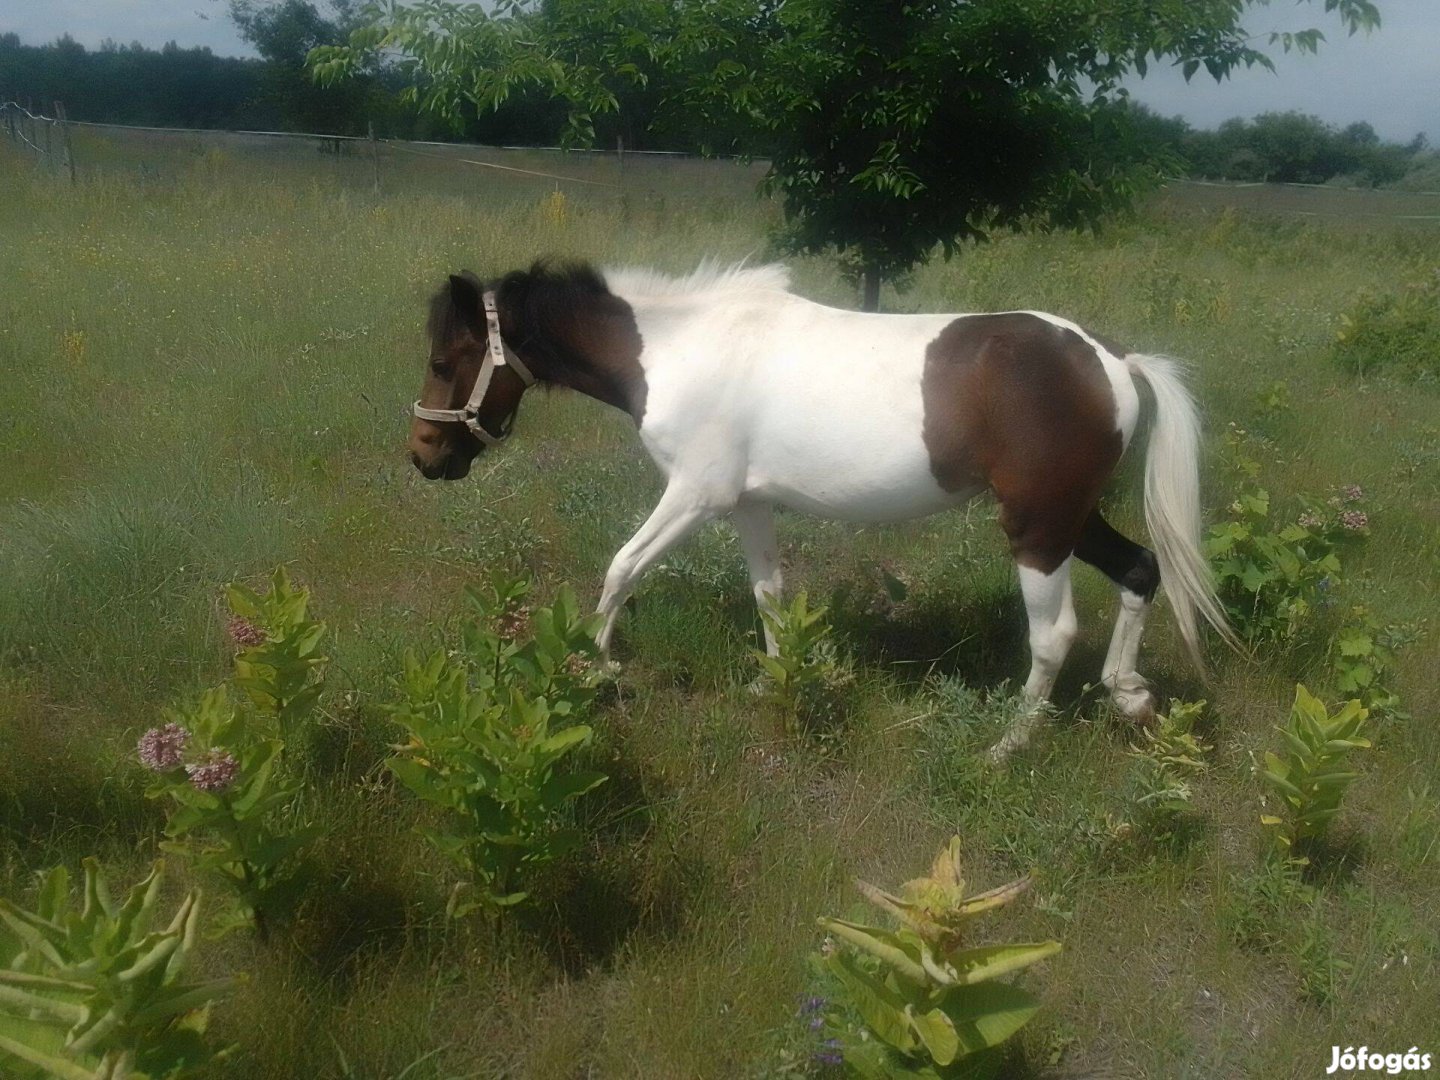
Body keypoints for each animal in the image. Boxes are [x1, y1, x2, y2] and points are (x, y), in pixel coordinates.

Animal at [408, 260, 1238, 760]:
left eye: (447, 361)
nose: (423, 456)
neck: (680, 349)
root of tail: (1114, 361)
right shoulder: (746, 506)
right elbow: (770, 596)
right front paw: (775, 685)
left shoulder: (695, 495)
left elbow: (621, 569)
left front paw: (594, 670)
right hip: (1072, 518)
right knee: (1141, 569)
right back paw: (1129, 695)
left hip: (1037, 525)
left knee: (1056, 632)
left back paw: (1007, 745)